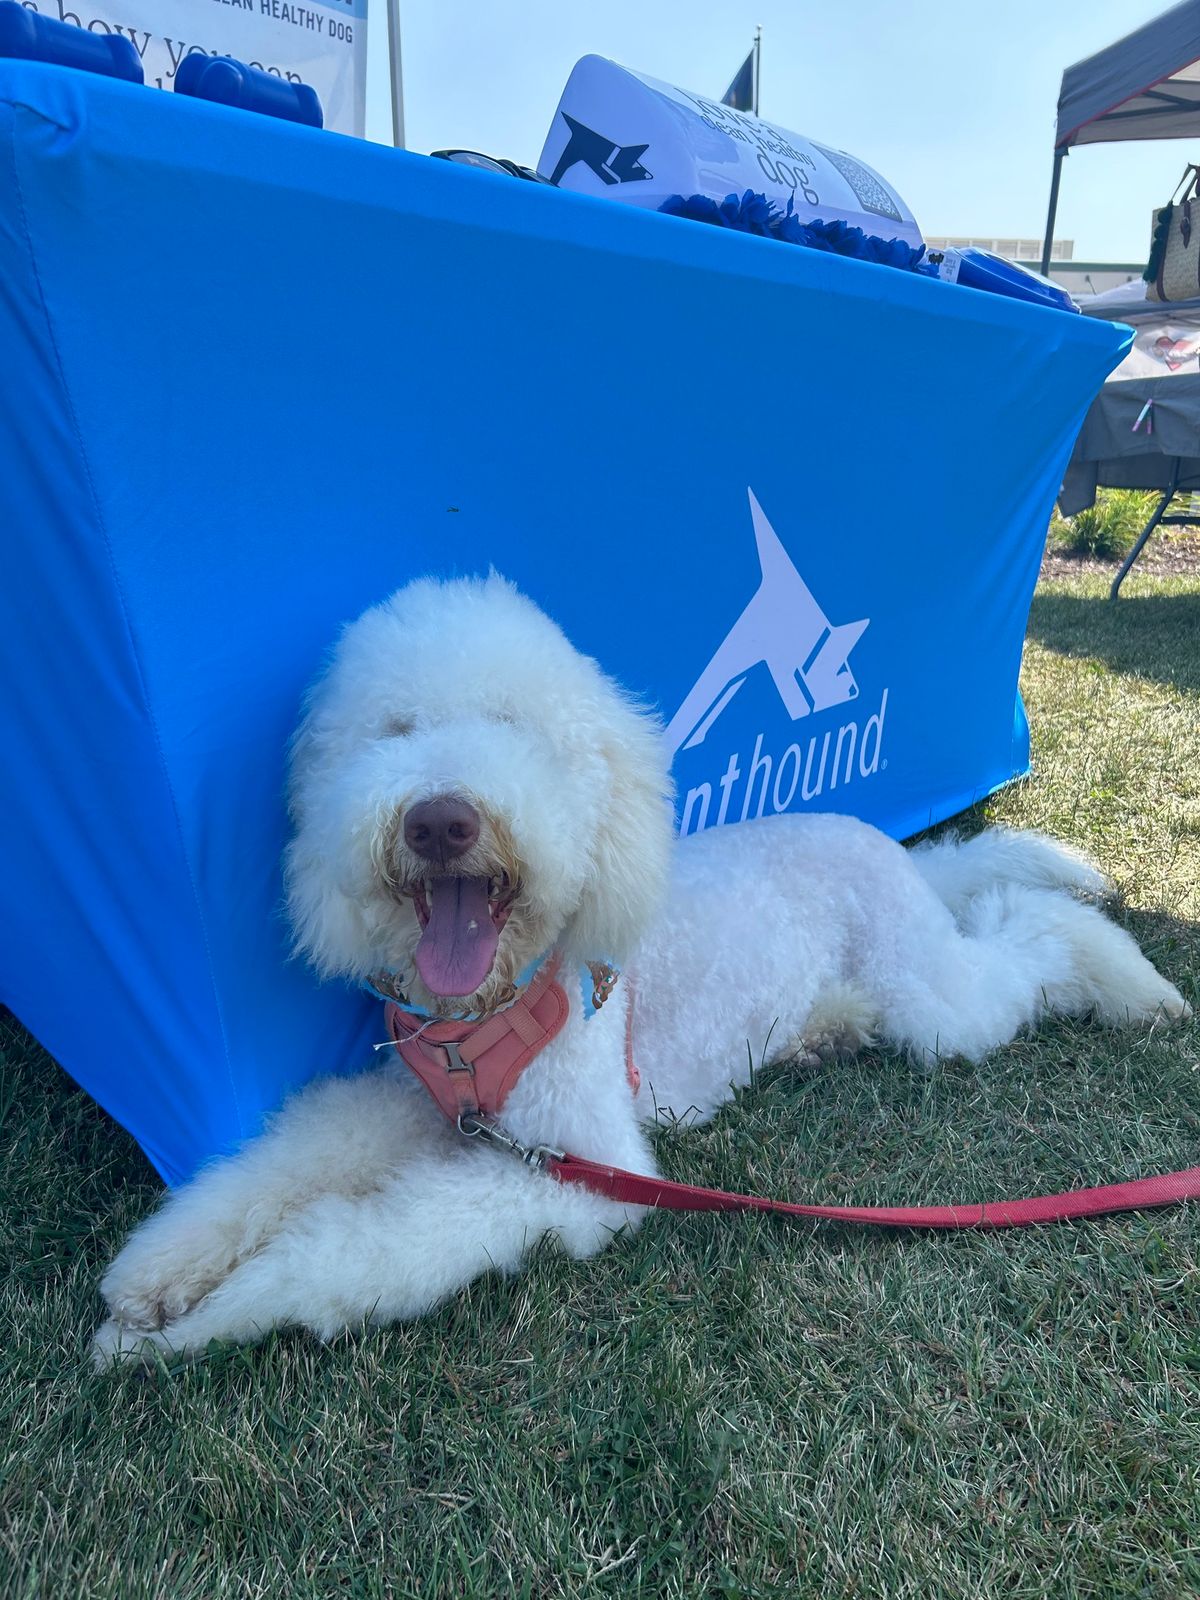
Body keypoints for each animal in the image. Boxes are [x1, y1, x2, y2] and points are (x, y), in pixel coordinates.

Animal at [91, 576, 1184, 1363]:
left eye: (518, 729)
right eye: (391, 731)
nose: (440, 820)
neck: (495, 1003)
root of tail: (889, 848)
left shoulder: (577, 1167)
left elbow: (356, 1246)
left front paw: (196, 1324)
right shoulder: (407, 1102)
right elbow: (279, 1164)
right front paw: (156, 1279)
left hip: (936, 995)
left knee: (1024, 936)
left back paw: (1132, 981)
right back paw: (825, 1030)